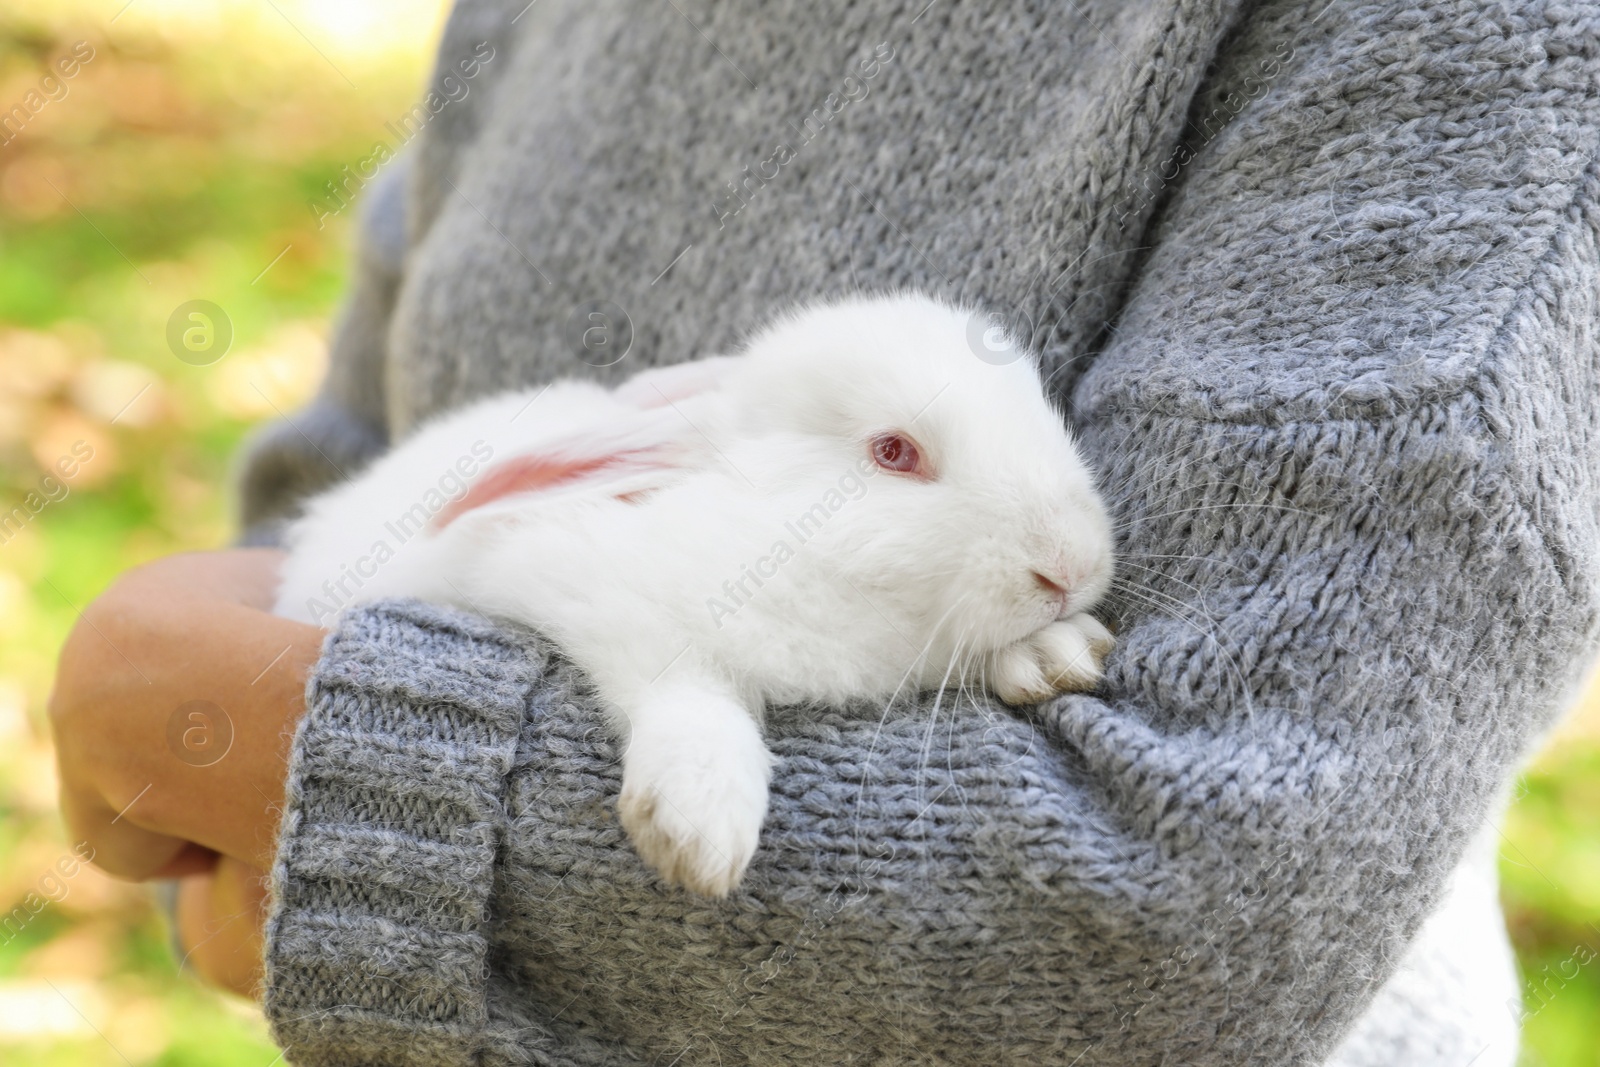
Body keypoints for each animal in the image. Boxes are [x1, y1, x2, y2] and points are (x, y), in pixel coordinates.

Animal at [272, 289, 1113, 895]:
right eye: (894, 452)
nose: (1074, 564)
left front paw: (1054, 653)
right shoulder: (592, 594)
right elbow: (687, 689)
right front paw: (697, 827)